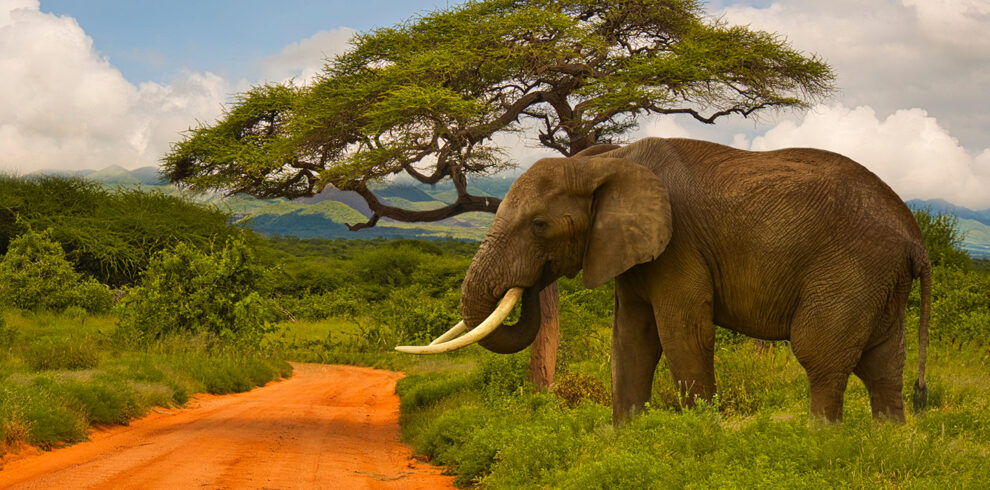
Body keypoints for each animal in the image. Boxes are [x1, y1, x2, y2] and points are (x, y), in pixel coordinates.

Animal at [398, 136, 928, 424]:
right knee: (883, 368)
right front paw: (629, 440)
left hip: (850, 269)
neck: (607, 160)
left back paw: (820, 445)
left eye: (540, 226)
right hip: (880, 282)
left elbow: (681, 335)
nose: (529, 283)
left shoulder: (678, 246)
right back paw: (884, 443)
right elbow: (631, 341)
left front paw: (698, 439)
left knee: (822, 358)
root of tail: (914, 236)